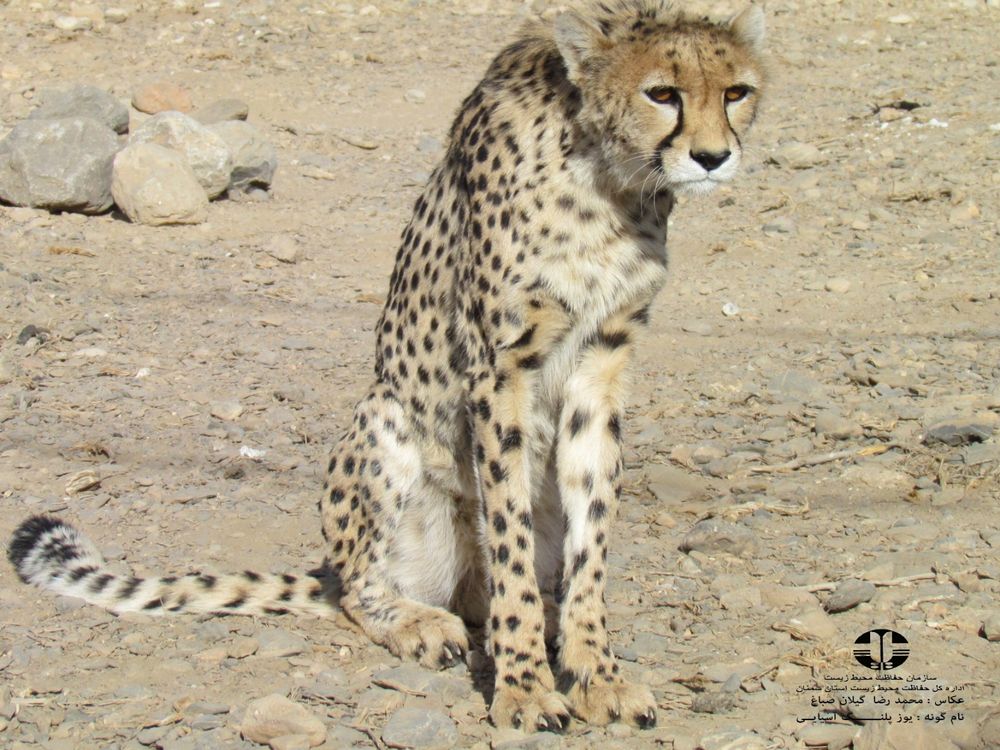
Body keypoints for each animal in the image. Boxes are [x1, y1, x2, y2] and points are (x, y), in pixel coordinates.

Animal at [8, 0, 767, 733]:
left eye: (737, 92)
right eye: (661, 93)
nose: (712, 157)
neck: (609, 175)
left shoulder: (601, 361)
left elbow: (591, 533)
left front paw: (594, 674)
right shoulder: (498, 366)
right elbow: (509, 540)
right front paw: (524, 690)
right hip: (384, 420)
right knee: (361, 589)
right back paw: (419, 623)